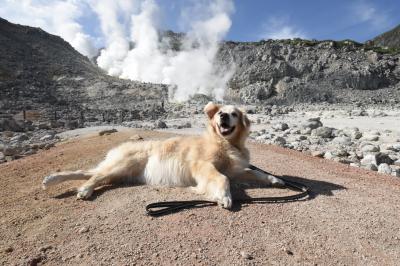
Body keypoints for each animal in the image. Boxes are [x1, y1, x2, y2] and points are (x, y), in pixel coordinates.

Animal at [42, 102, 282, 208]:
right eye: (221, 112)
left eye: (234, 114)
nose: (223, 116)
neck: (226, 143)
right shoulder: (204, 166)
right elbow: (221, 178)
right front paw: (223, 196)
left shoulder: (236, 170)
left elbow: (256, 173)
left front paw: (275, 180)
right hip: (123, 164)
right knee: (94, 176)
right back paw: (84, 190)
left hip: (119, 173)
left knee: (88, 172)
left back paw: (52, 179)